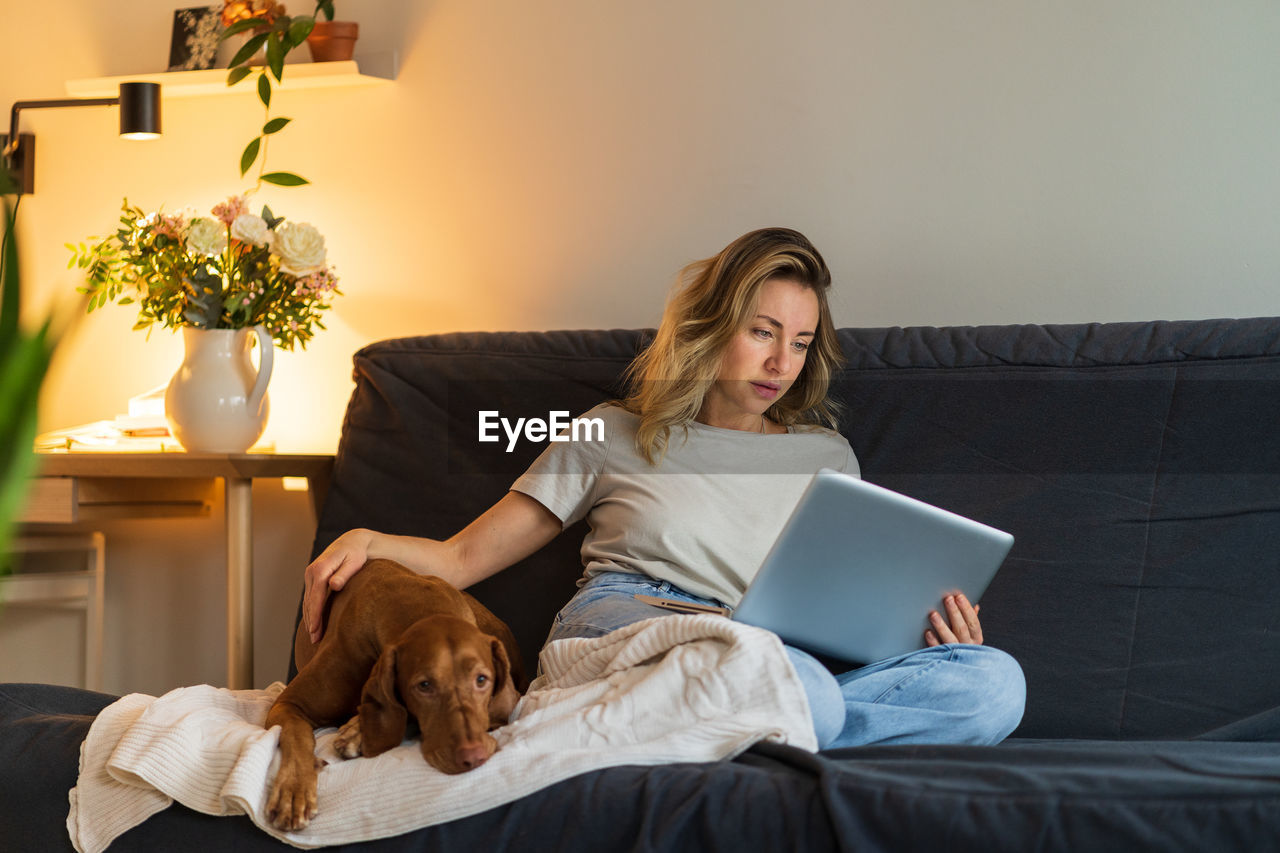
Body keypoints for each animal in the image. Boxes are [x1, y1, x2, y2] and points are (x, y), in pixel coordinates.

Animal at [264, 558, 524, 829]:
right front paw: (293, 791)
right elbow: (297, 736)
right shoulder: (289, 704)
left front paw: (357, 731)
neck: (418, 605)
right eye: (424, 686)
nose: (472, 756)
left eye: (482, 680)